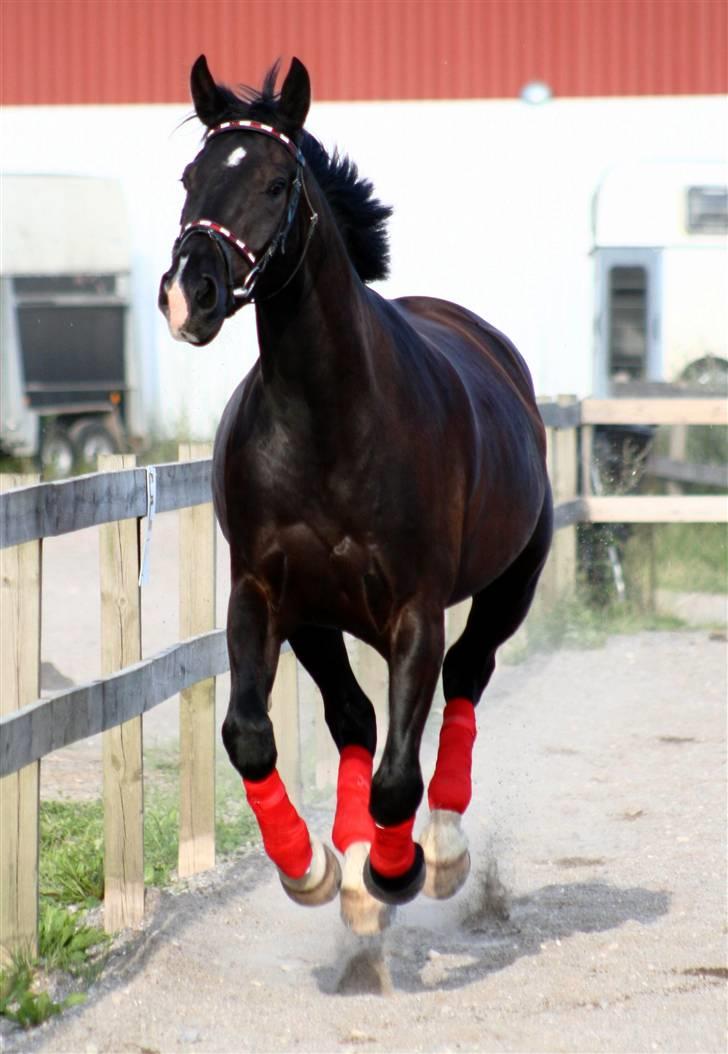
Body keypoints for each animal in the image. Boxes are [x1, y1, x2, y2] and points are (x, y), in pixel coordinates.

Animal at [156, 53, 547, 935]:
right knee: (356, 719)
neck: (331, 422)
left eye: (274, 182)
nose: (189, 292)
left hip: (510, 585)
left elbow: (399, 773)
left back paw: (440, 850)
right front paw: (315, 868)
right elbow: (254, 734)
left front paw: (401, 869)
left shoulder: (414, 611)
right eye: (192, 176)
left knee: (467, 678)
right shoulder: (271, 597)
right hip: (324, 619)